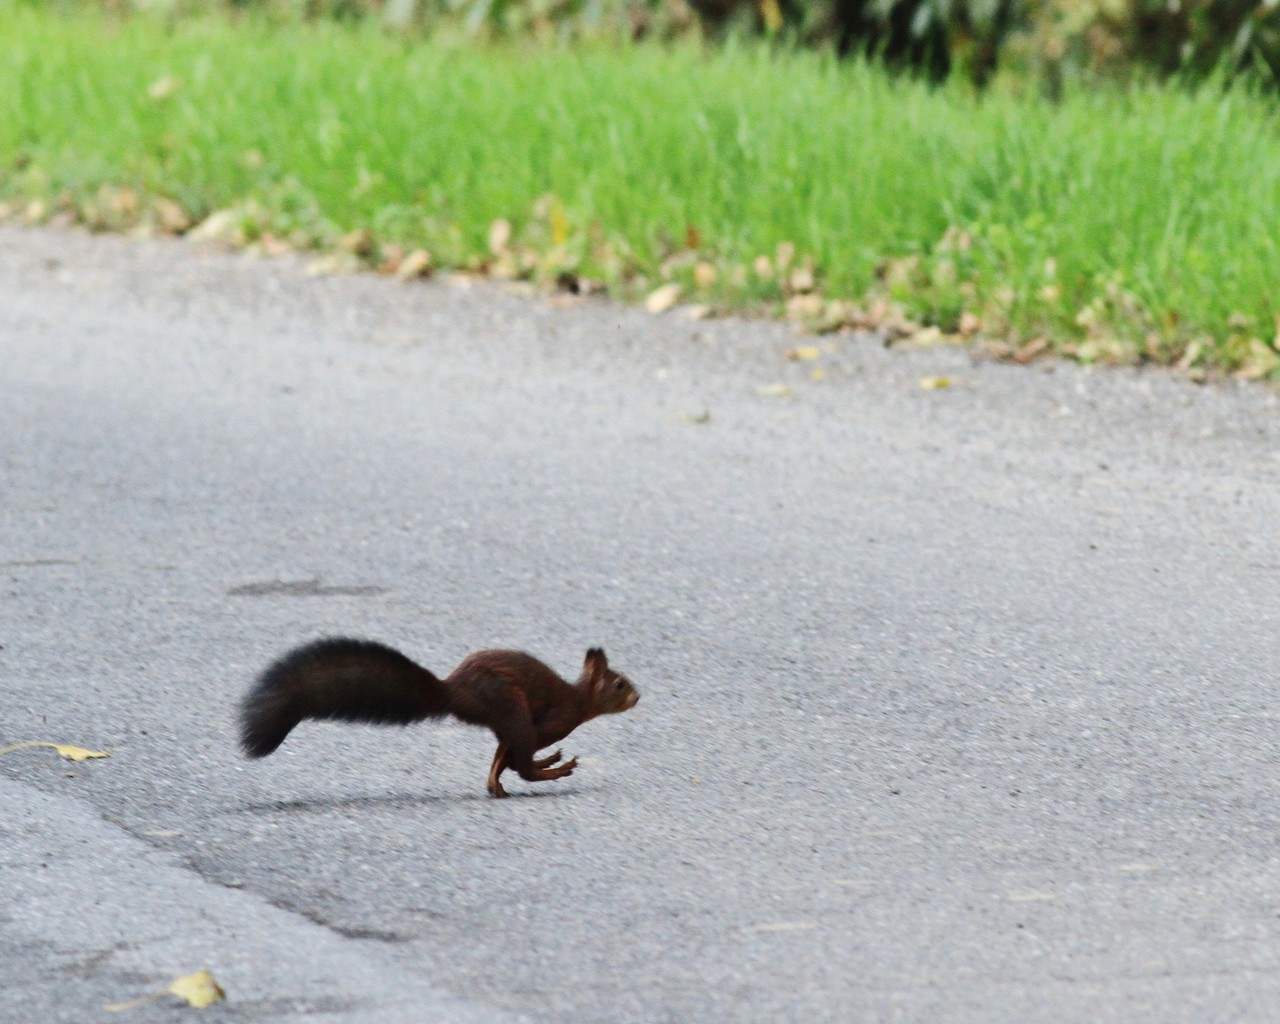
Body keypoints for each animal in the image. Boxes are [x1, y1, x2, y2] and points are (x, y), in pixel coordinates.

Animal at [238, 640, 637, 798]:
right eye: (619, 684)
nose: (638, 696)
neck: (581, 701)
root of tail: (453, 691)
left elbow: (503, 756)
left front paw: (498, 777)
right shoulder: (553, 721)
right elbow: (517, 757)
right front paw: (550, 760)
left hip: (504, 714)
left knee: (504, 753)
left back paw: (498, 784)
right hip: (510, 705)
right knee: (522, 761)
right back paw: (555, 767)